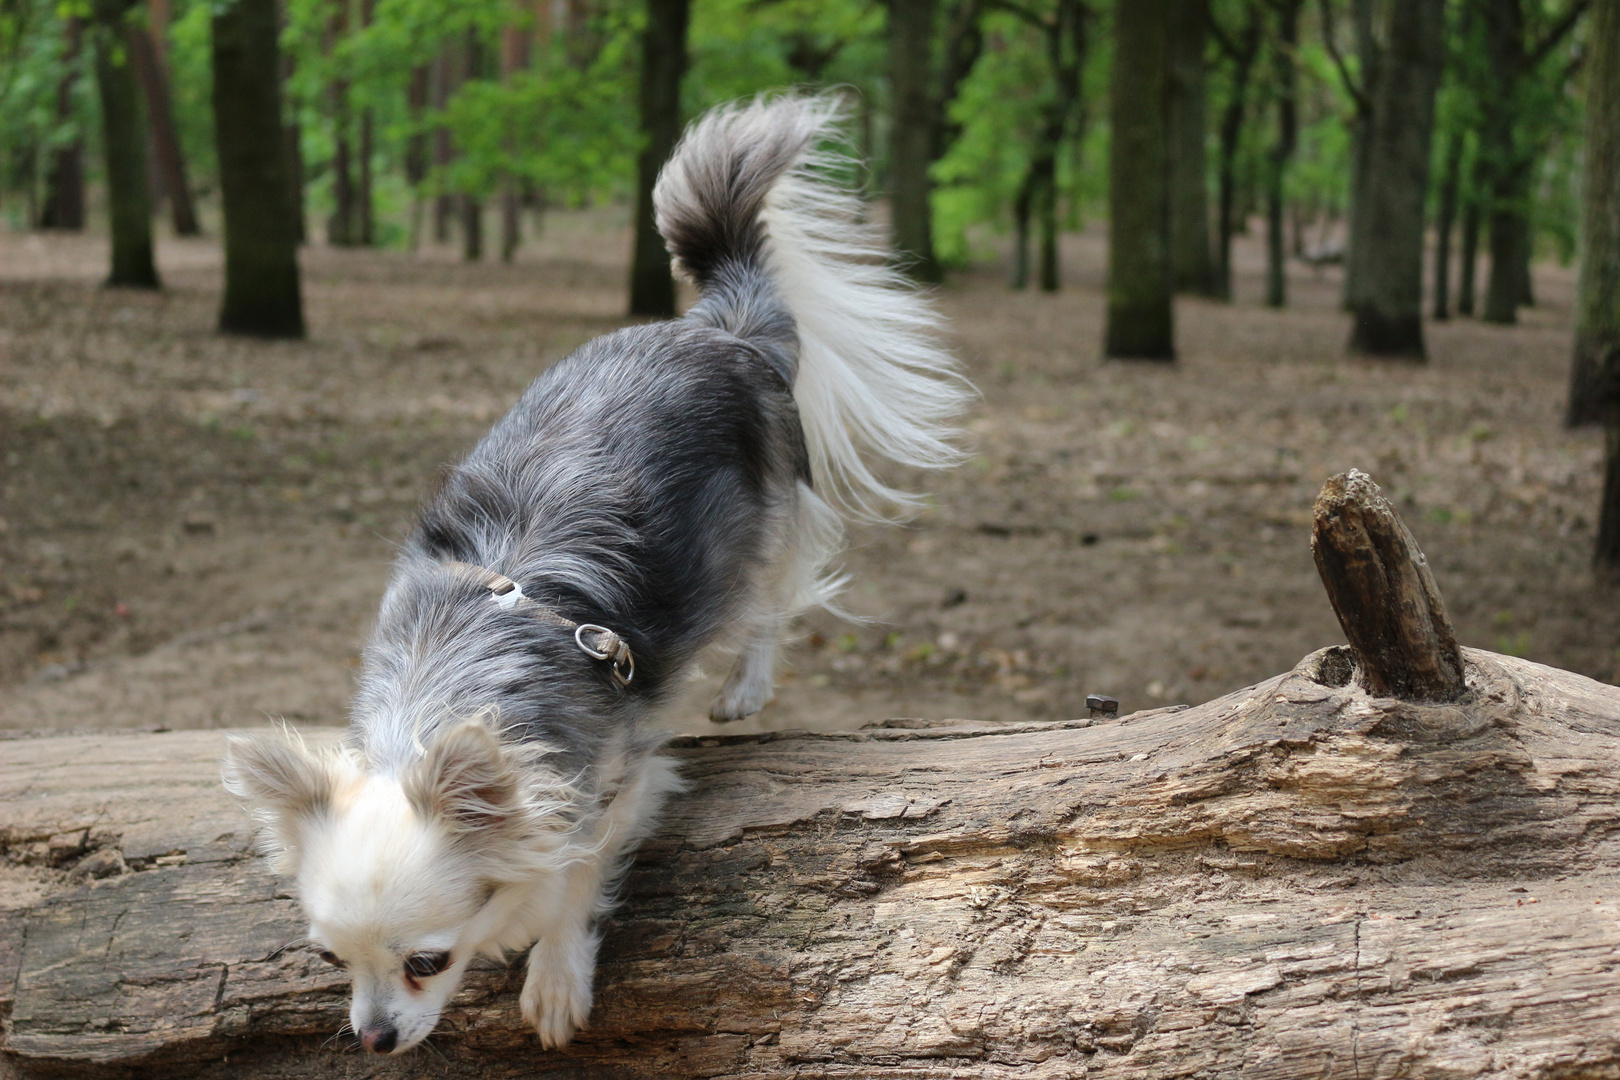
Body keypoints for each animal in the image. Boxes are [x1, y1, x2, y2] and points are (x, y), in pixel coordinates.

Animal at [221, 93, 965, 1055]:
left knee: (769, 605)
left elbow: (576, 873)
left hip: (758, 531)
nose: (373, 1038)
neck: (447, 683)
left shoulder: (625, 777)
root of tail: (714, 329)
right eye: (330, 960)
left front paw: (553, 975)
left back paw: (744, 689)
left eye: (426, 960)